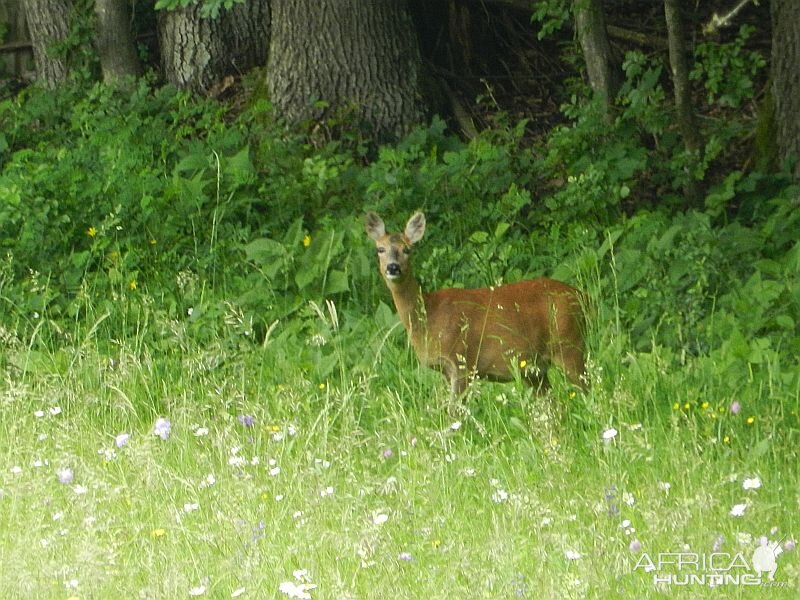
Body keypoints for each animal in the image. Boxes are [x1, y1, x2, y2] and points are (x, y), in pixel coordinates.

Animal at [366, 209, 584, 400]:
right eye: (380, 249)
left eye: (407, 249)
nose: (393, 267)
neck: (429, 315)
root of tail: (582, 296)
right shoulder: (446, 371)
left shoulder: (463, 362)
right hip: (534, 368)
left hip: (569, 344)